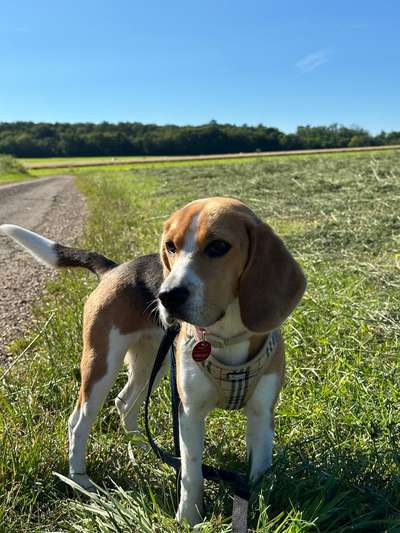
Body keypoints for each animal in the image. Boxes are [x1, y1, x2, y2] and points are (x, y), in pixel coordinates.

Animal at [0, 197, 306, 524]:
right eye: (170, 246)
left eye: (219, 246)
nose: (166, 296)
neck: (225, 336)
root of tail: (114, 269)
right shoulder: (189, 412)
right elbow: (192, 471)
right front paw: (189, 518)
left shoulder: (262, 412)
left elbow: (261, 469)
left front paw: (262, 509)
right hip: (101, 363)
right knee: (78, 420)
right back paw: (81, 480)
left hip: (153, 363)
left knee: (125, 401)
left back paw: (142, 447)